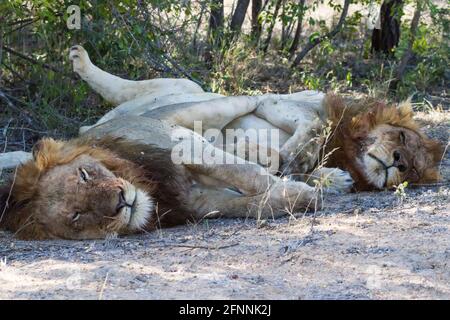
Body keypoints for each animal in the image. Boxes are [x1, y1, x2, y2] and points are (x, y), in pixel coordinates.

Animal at [0, 45, 442, 240]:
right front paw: (295, 169)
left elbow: (260, 187)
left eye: (413, 169)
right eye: (401, 137)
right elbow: (300, 132)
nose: (399, 161)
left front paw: (307, 182)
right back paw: (81, 60)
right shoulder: (276, 104)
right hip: (186, 91)